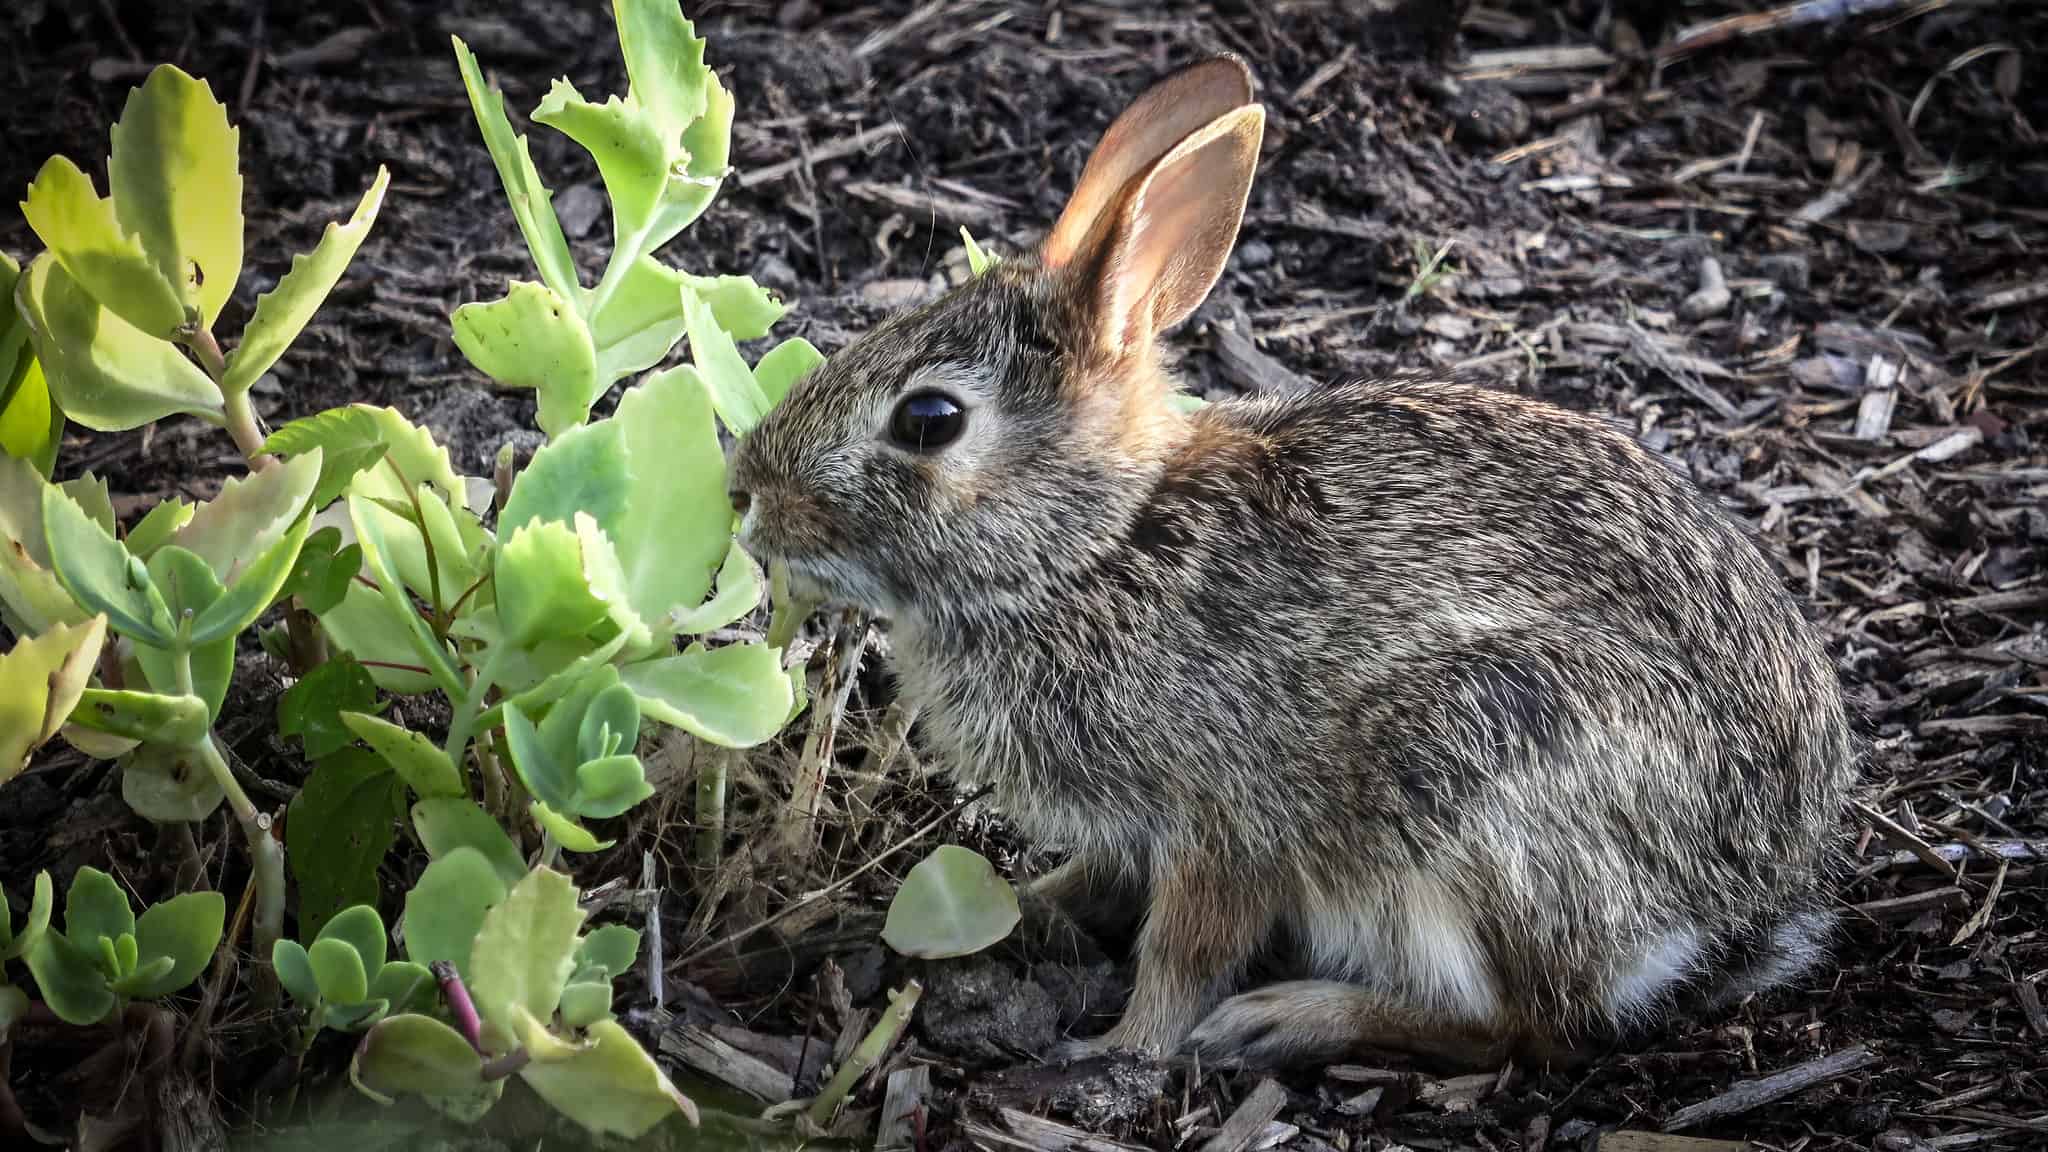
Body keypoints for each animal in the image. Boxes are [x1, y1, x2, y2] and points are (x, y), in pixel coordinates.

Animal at [729, 56, 1867, 1065]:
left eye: (928, 420)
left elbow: (1186, 950)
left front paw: (1123, 1048)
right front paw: (1008, 911)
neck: (1100, 545)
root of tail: (1742, 899)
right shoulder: (1129, 831)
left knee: (1527, 1027)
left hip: (1476, 775)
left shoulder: (1226, 823)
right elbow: (1093, 883)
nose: (748, 494)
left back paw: (1288, 1022)